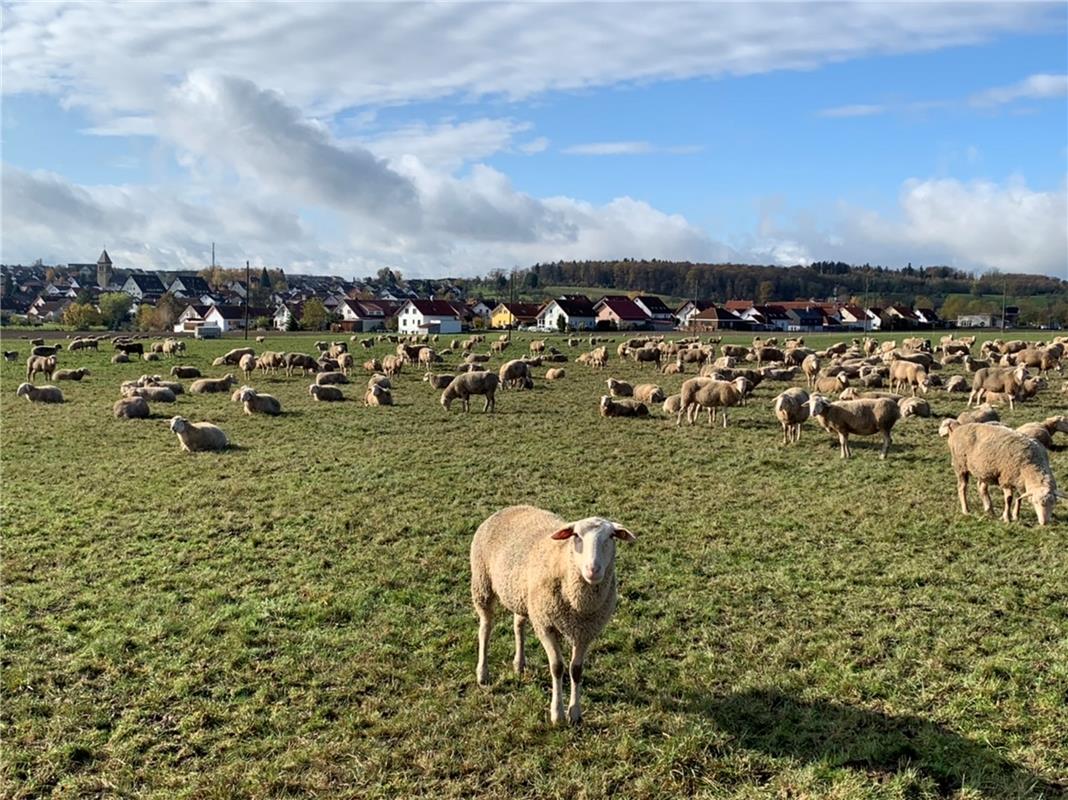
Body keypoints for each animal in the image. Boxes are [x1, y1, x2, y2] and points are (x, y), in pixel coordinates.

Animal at [469, 508, 632, 726]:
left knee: (518, 624)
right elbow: (557, 667)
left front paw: (575, 713)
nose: (593, 570)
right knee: (485, 629)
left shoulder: (586, 631)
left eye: (611, 536)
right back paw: (483, 673)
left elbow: (576, 670)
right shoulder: (545, 625)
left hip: (522, 596)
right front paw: (557, 715)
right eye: (576, 536)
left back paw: (519, 664)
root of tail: (510, 507)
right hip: (482, 585)